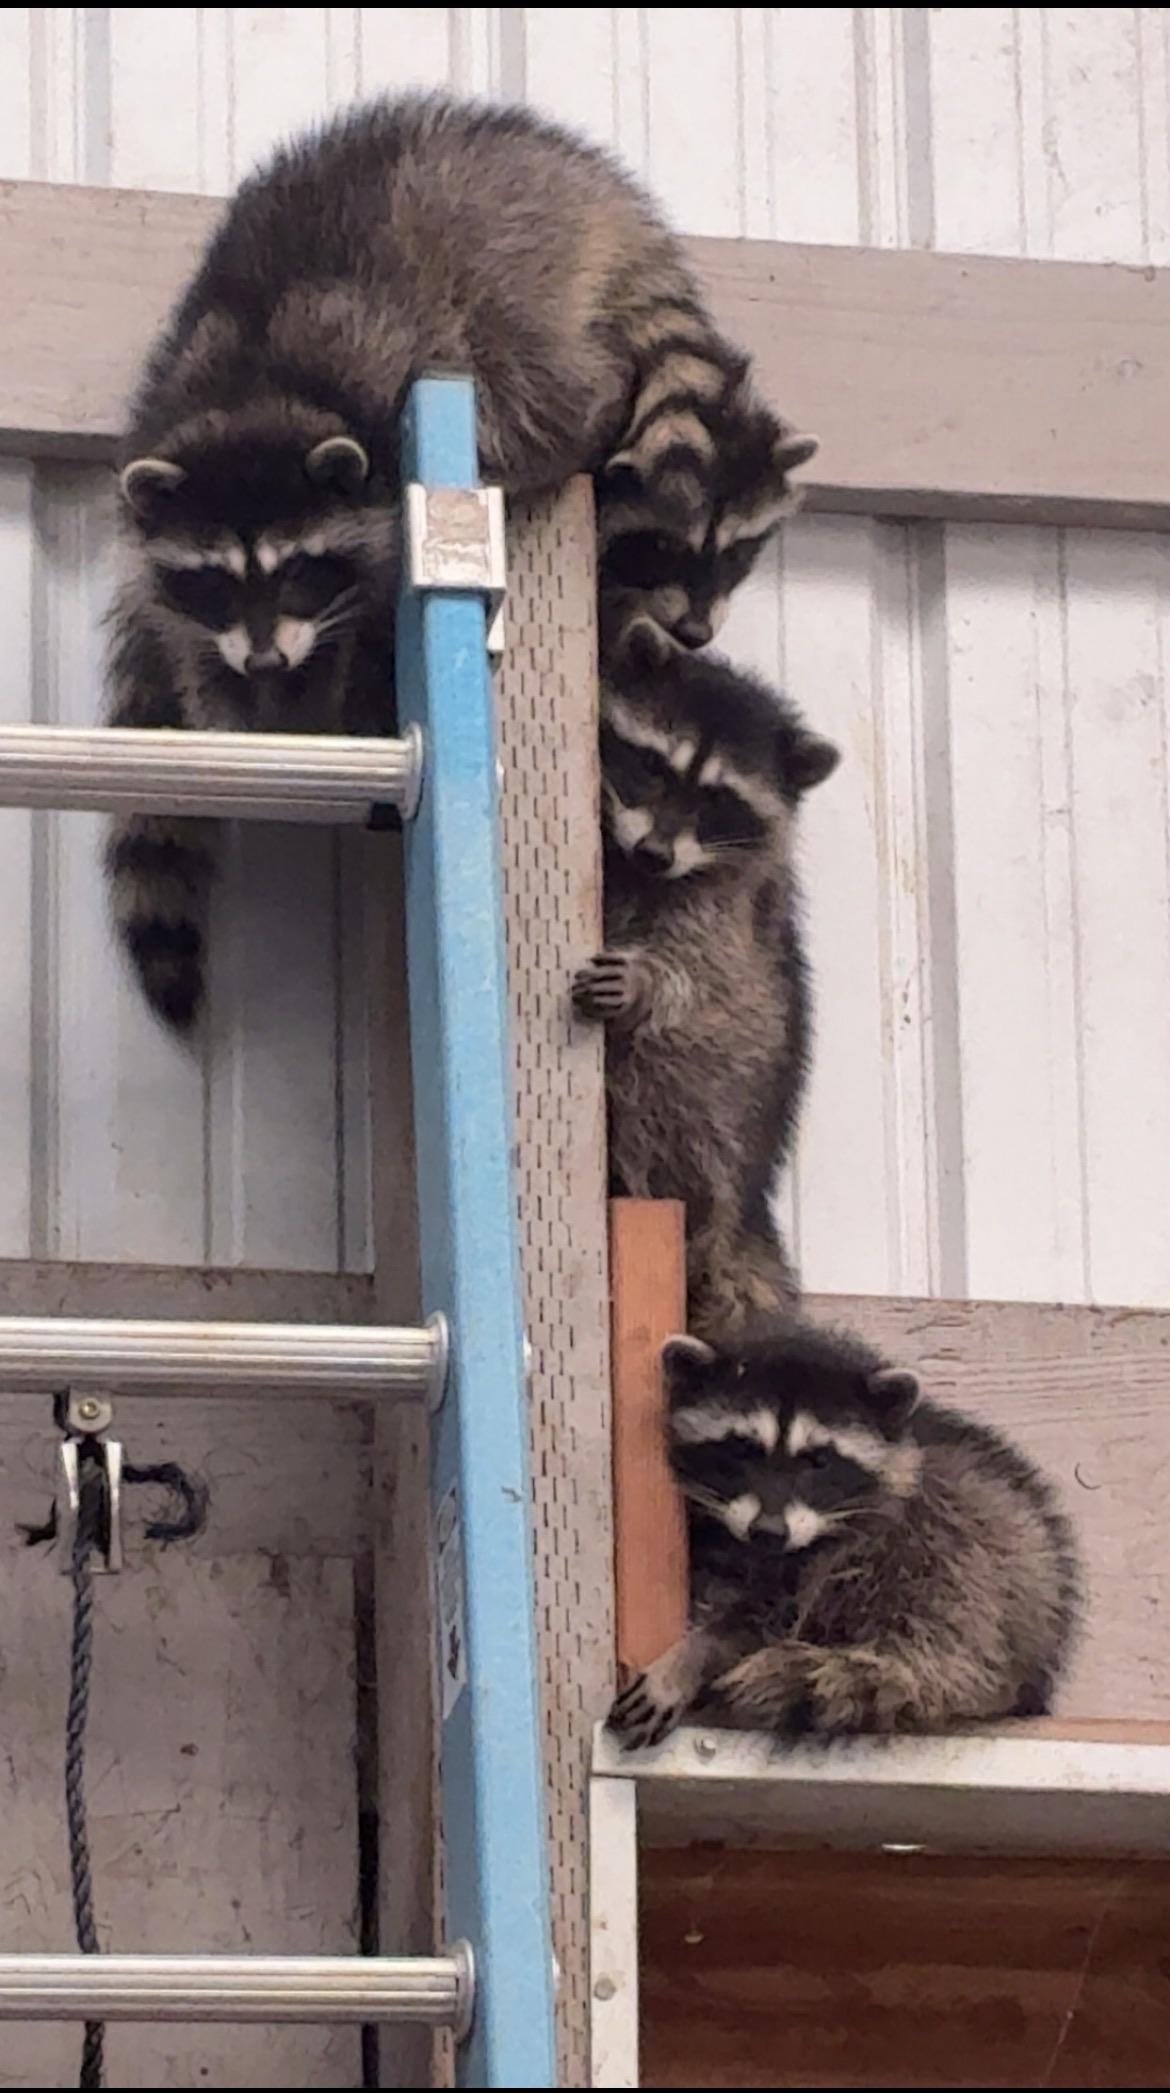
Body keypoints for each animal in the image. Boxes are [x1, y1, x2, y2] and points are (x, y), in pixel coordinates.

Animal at [573, 652, 837, 1334]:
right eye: (653, 766)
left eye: (718, 800)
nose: (655, 852)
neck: (637, 870)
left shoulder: (728, 908)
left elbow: (709, 979)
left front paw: (646, 983)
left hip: (713, 1116)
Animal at [608, 1321, 1081, 1748]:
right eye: (742, 1451)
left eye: (819, 1461)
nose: (768, 1531)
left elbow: (762, 1620)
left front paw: (695, 1654)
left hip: (1004, 1557)